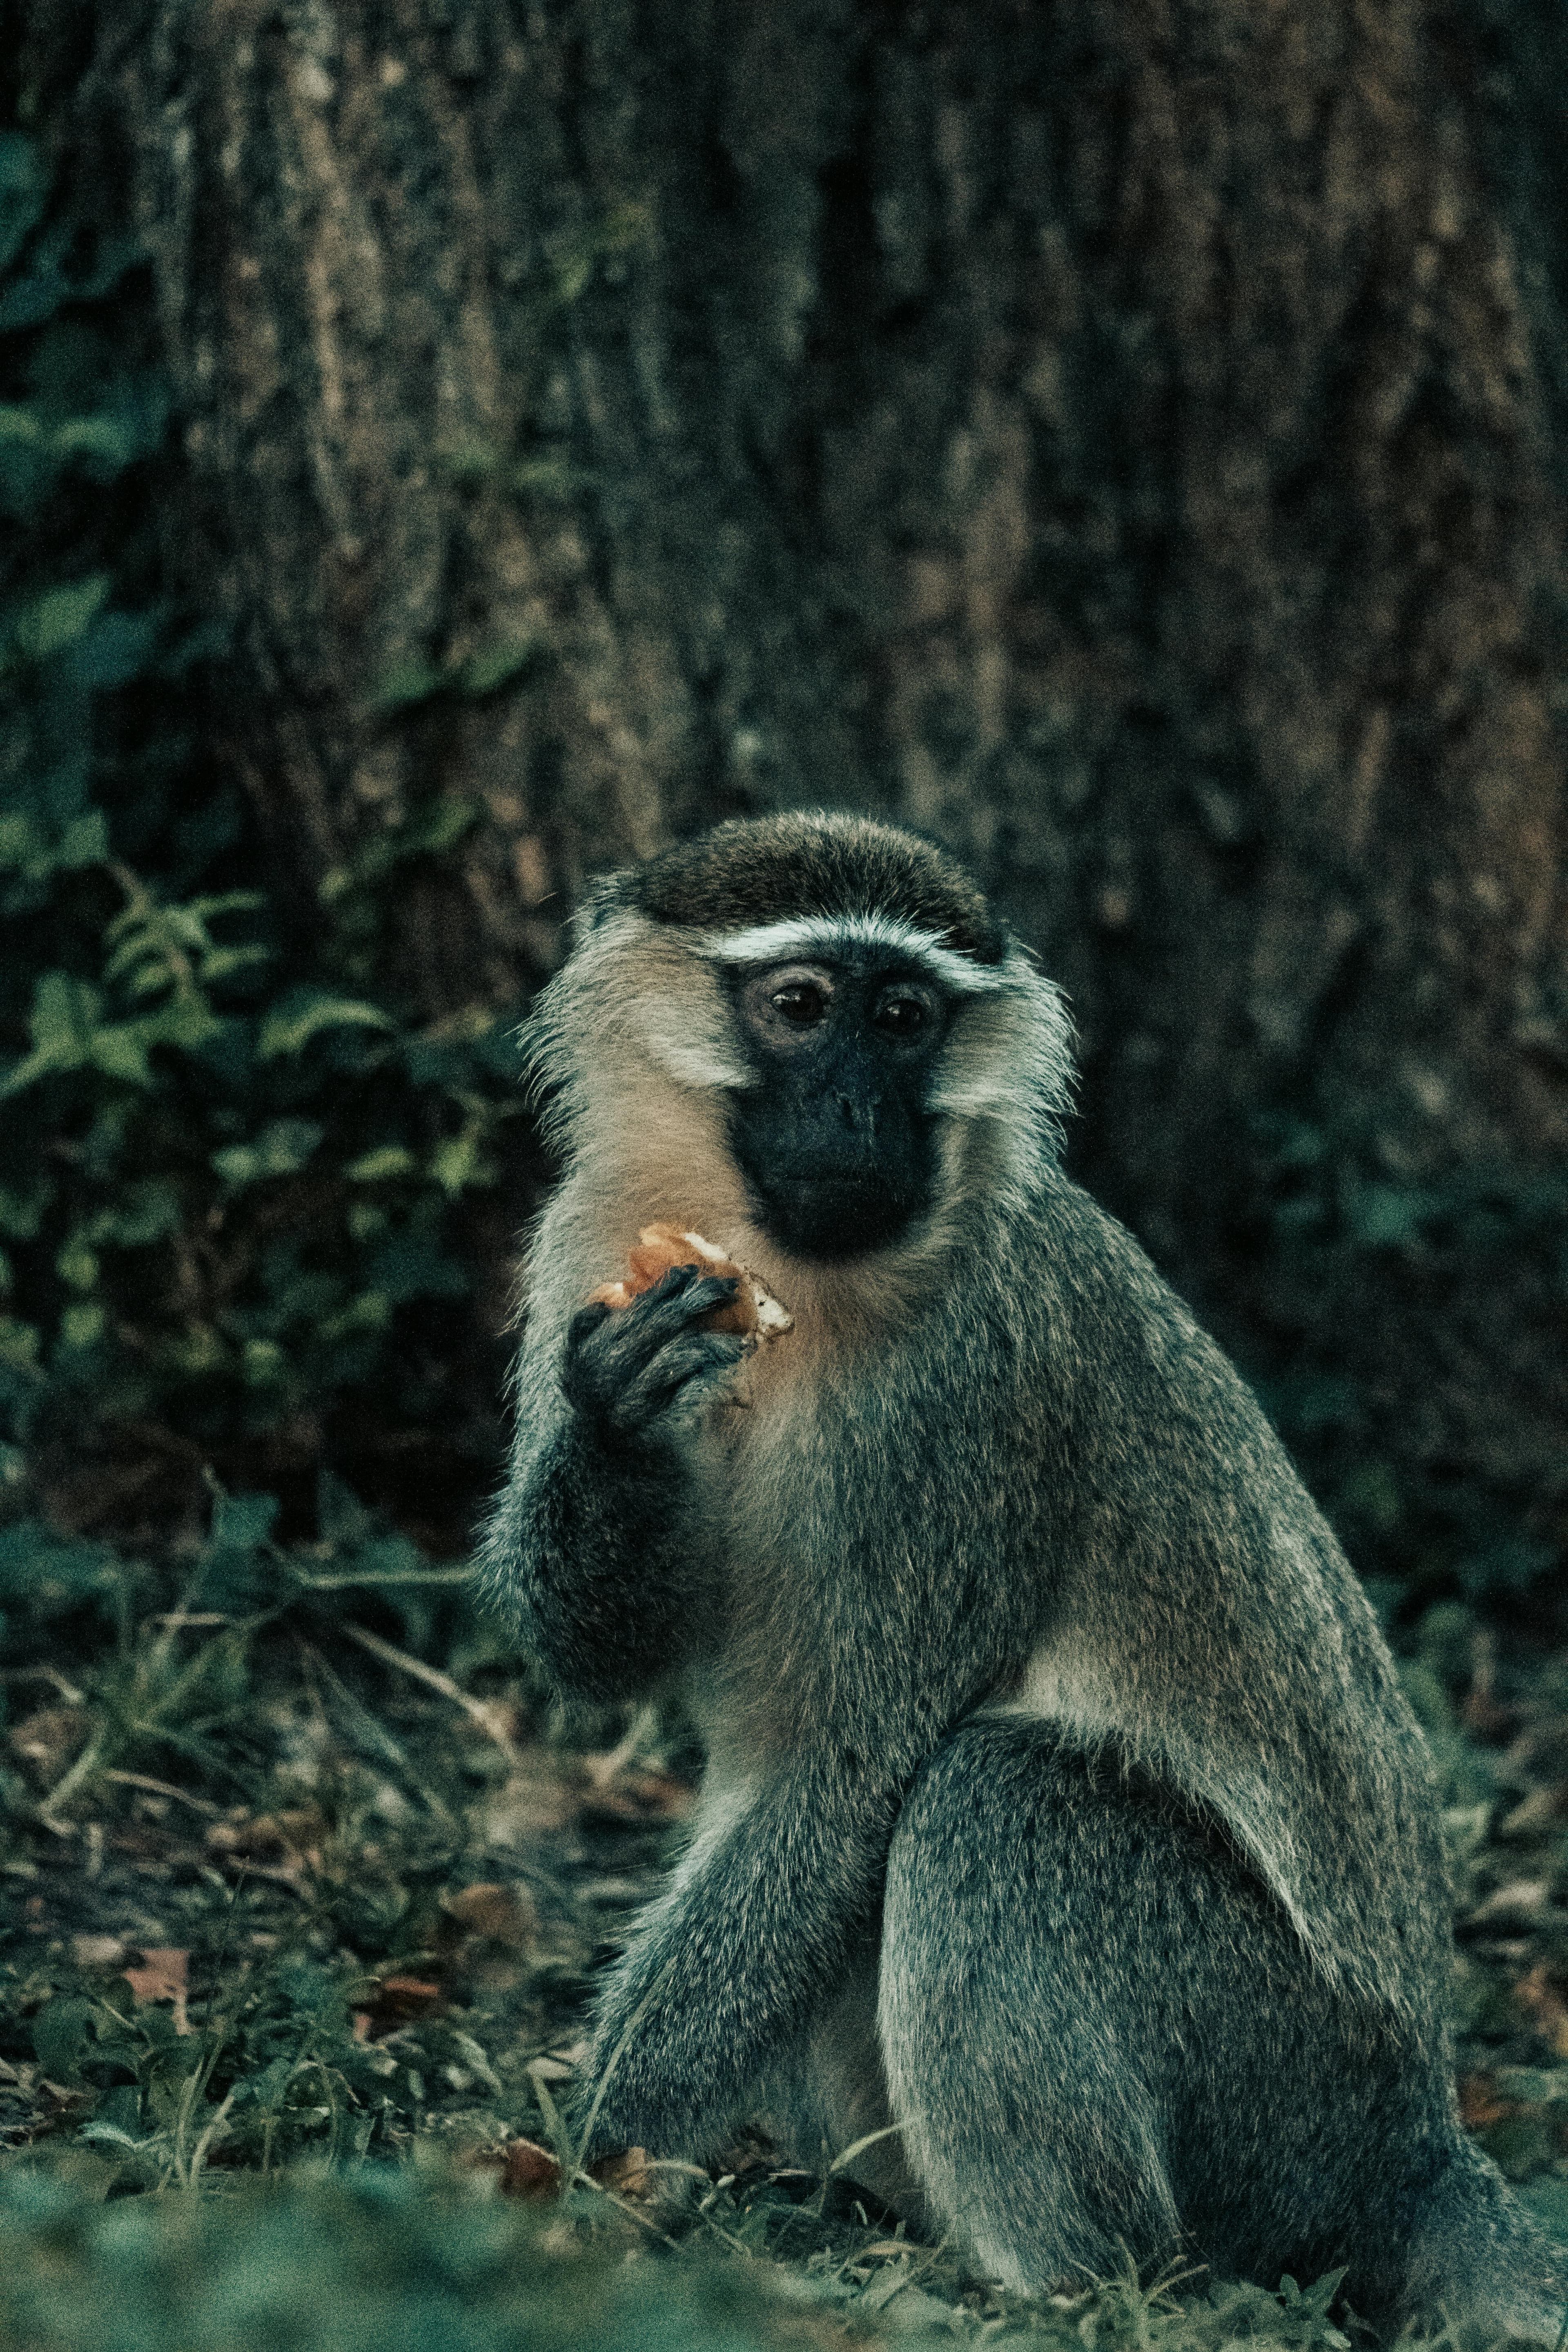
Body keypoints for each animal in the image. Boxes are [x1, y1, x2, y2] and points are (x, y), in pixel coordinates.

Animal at [477, 811, 1562, 2338]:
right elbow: (605, 1655)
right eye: (801, 1007)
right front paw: (623, 1416)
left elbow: (847, 1775)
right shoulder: (584, 1242)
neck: (813, 1278)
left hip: (1280, 2087)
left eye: (904, 1018)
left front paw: (584, 2174)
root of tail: (1416, 2136)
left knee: (995, 1798)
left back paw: (1060, 2285)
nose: (859, 1118)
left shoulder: (971, 1396)